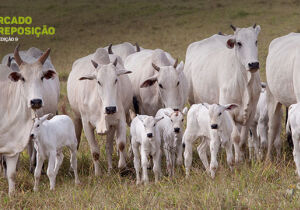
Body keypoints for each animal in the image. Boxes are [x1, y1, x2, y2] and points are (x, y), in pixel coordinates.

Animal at [68, 47, 134, 176]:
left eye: (116, 80)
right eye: (98, 81)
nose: (110, 109)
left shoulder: (119, 120)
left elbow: (121, 144)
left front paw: (122, 166)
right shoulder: (86, 124)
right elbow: (95, 151)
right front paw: (97, 174)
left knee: (108, 147)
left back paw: (110, 169)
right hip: (77, 118)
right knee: (76, 142)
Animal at [184, 24, 262, 162]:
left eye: (256, 41)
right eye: (239, 43)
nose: (253, 64)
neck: (244, 81)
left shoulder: (251, 111)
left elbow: (242, 140)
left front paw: (242, 158)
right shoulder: (228, 110)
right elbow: (235, 137)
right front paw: (238, 160)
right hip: (193, 102)